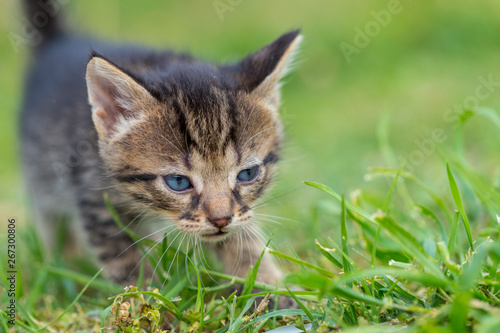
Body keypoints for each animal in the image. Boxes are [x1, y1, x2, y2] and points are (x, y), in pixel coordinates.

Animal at [19, 0, 300, 290]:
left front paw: (269, 286)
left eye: (247, 174)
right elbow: (126, 260)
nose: (221, 219)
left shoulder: (240, 212)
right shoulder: (96, 202)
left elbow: (244, 237)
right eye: (178, 182)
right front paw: (145, 297)